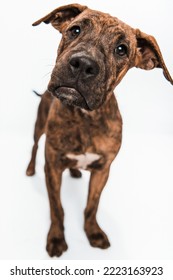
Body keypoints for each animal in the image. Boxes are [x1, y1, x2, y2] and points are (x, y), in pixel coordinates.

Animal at [26, 3, 172, 258]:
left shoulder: (103, 170)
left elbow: (92, 206)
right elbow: (57, 208)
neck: (86, 118)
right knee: (34, 146)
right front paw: (56, 238)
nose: (83, 64)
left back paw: (75, 172)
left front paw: (93, 232)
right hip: (39, 125)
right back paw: (30, 168)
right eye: (75, 30)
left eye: (122, 49)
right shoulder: (52, 166)